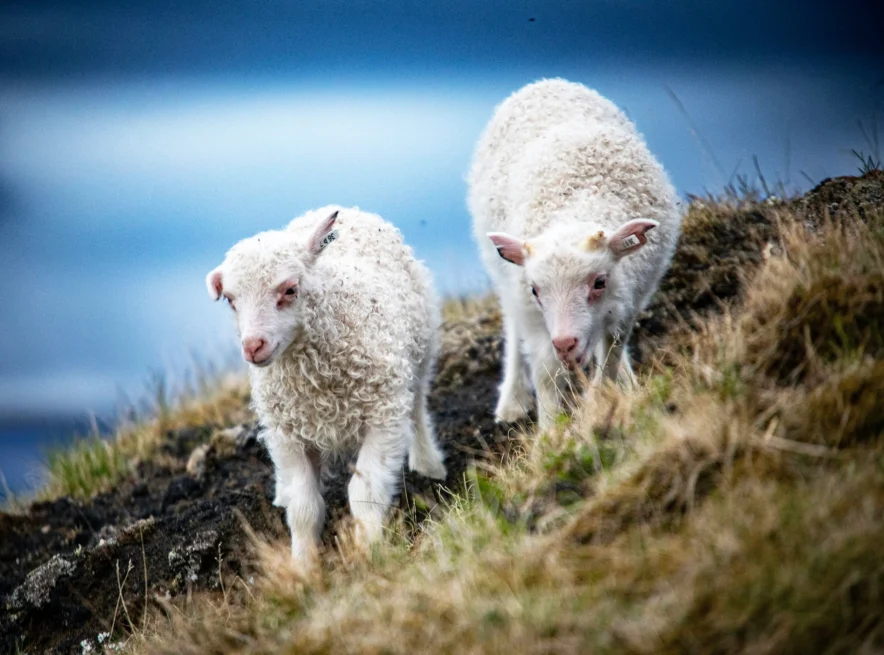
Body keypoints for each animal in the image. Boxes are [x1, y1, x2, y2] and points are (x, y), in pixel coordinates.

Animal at [205, 205, 447, 567]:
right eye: (231, 300)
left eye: (290, 289)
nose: (253, 346)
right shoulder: (288, 433)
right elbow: (304, 508)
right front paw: (304, 566)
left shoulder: (384, 416)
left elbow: (364, 493)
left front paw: (370, 551)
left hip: (421, 351)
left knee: (417, 408)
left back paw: (429, 465)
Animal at [467, 78, 683, 430]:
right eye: (536, 290)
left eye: (599, 282)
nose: (566, 345)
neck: (579, 201)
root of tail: (545, 82)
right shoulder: (532, 311)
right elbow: (546, 374)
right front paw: (550, 434)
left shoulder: (629, 298)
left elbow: (610, 354)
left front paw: (601, 405)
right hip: (499, 267)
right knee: (512, 324)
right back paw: (512, 401)